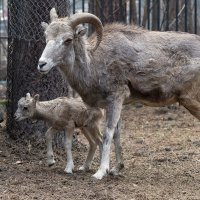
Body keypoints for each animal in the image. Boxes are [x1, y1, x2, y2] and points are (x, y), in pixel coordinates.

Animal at [37, 8, 200, 180]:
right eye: (46, 37)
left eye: (68, 39)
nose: (42, 64)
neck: (94, 64)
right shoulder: (116, 104)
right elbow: (117, 133)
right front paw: (116, 169)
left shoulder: (115, 99)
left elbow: (107, 134)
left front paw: (100, 172)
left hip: (190, 100)